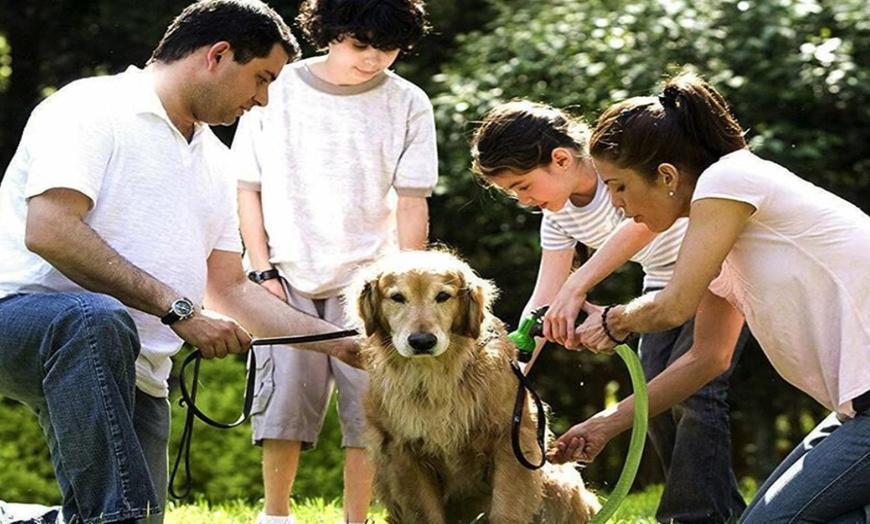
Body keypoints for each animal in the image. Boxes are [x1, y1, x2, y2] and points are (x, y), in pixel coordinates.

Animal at [346, 250, 600, 524]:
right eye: (397, 297)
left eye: (443, 296)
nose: (422, 341)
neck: (436, 377)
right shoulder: (402, 452)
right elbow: (425, 512)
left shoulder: (511, 440)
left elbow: (506, 508)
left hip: (560, 483)